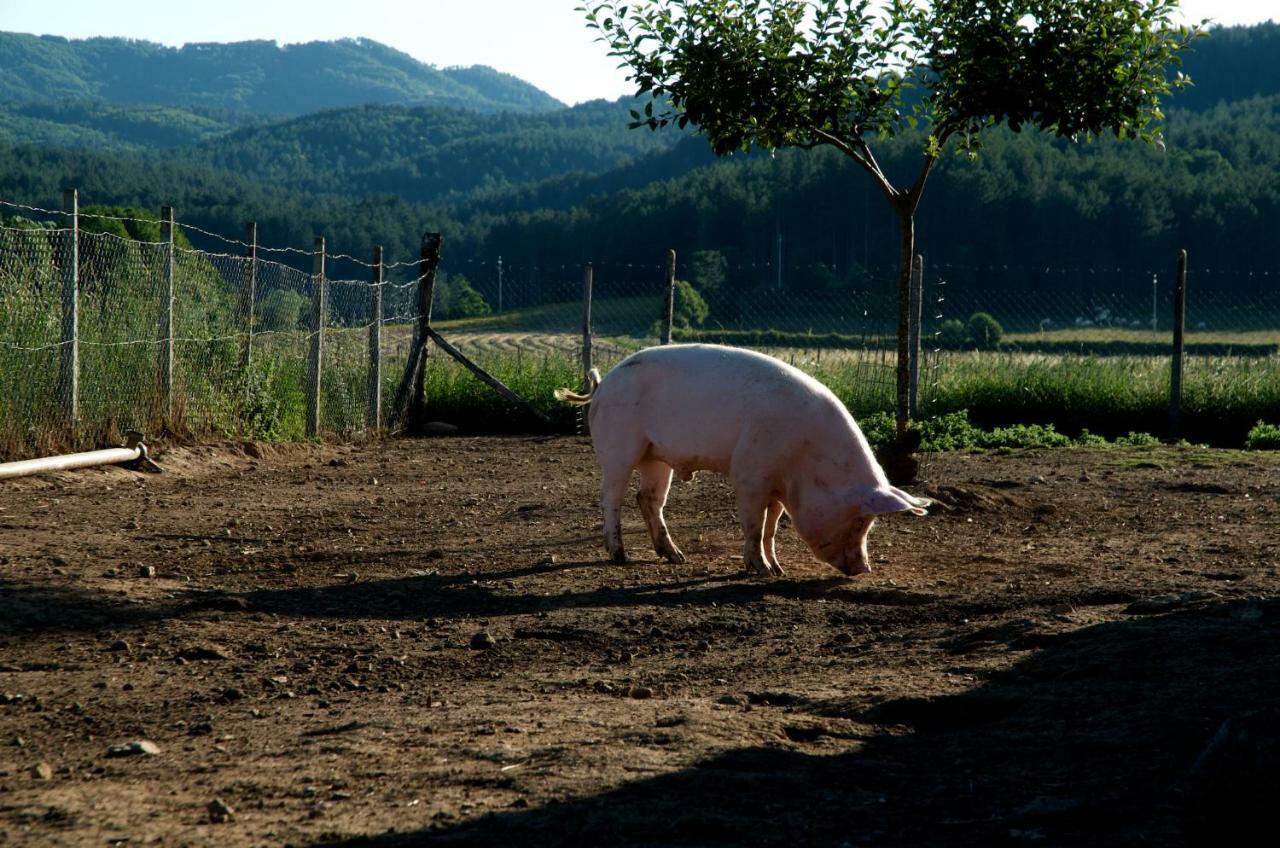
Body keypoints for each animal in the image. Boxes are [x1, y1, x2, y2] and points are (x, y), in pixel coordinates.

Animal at [552, 345, 931, 578]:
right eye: (860, 521)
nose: (865, 569)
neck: (807, 462)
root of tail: (603, 384)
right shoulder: (749, 472)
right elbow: (753, 523)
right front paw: (760, 571)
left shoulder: (778, 487)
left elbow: (772, 525)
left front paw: (778, 570)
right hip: (618, 447)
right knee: (610, 498)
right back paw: (619, 556)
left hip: (655, 456)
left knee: (647, 499)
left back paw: (676, 557)